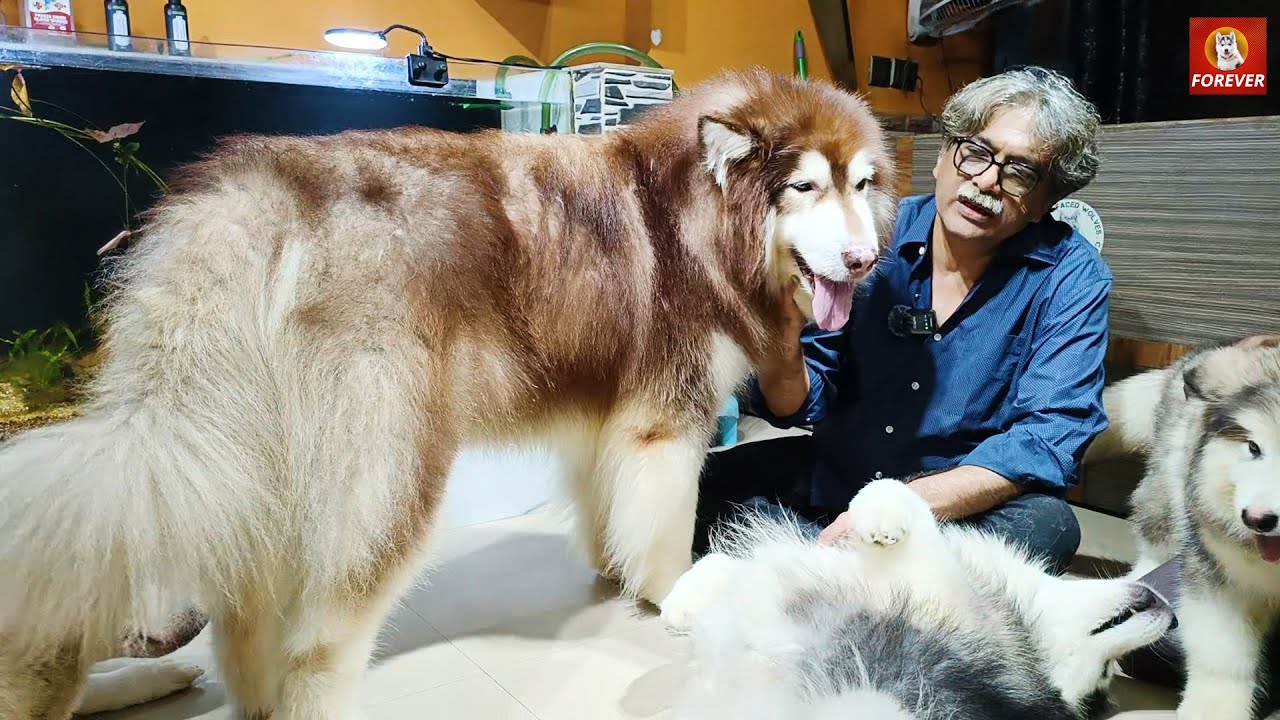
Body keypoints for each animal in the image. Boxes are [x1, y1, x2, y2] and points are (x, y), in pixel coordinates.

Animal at [0, 68, 898, 717]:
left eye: (862, 184)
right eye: (805, 188)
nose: (865, 262)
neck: (697, 212)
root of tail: (256, 200)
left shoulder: (601, 414)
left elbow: (604, 508)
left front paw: (610, 572)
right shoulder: (667, 421)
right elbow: (668, 530)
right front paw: (672, 594)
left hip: (257, 468)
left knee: (244, 623)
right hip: (387, 475)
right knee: (316, 645)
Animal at [1089, 337, 1280, 720]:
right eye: (1254, 447)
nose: (1257, 519)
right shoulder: (1224, 578)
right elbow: (1224, 656)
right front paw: (1213, 709)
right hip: (1170, 485)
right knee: (1155, 538)